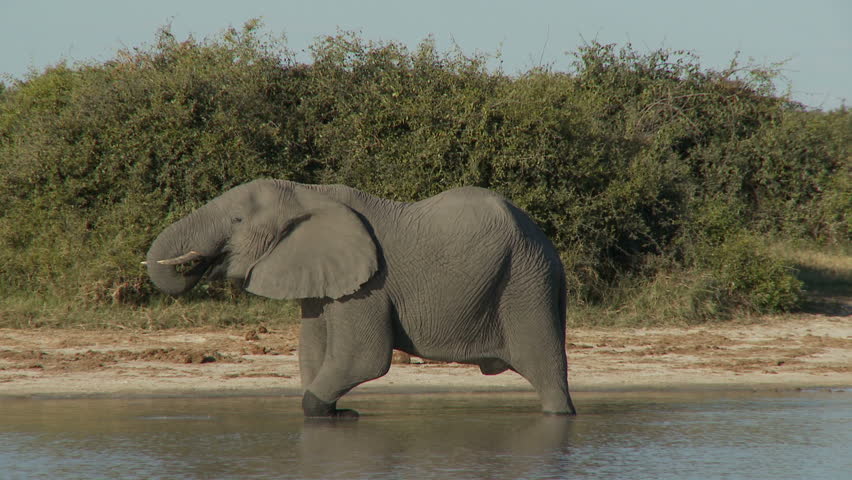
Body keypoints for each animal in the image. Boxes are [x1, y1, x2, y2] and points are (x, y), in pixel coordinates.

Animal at [145, 179, 577, 418]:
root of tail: (550, 248)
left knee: (545, 368)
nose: (199, 263)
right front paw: (339, 414)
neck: (307, 193)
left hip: (525, 282)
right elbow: (312, 352)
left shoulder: (370, 285)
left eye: (237, 221)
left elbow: (364, 359)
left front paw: (337, 411)